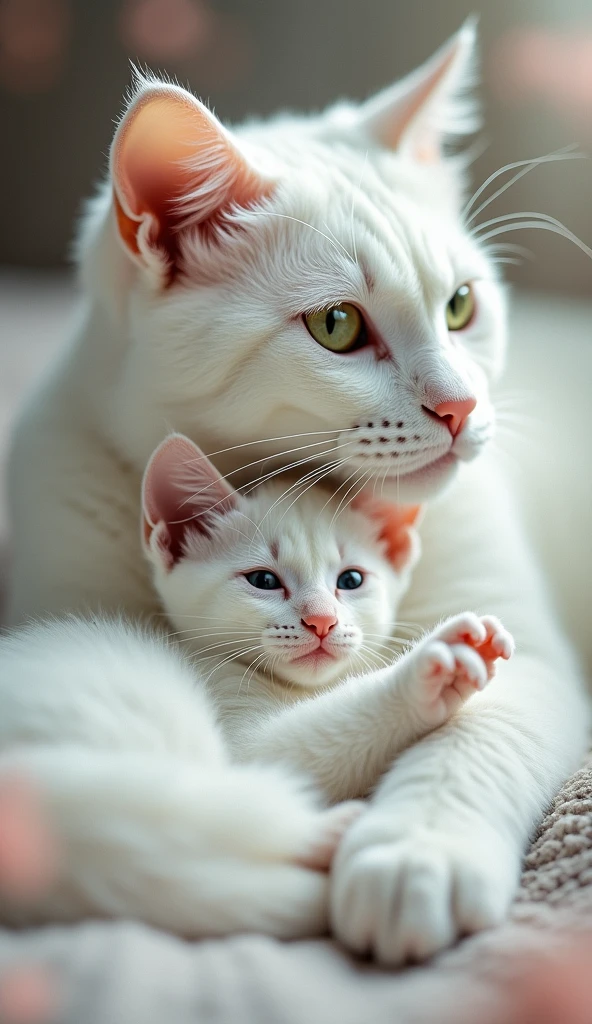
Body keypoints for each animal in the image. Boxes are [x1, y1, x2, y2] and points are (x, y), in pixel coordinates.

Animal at [5, 24, 589, 962]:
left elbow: (474, 734)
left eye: (461, 305)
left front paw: (414, 854)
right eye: (337, 326)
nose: (462, 406)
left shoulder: (527, 648)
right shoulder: (71, 631)